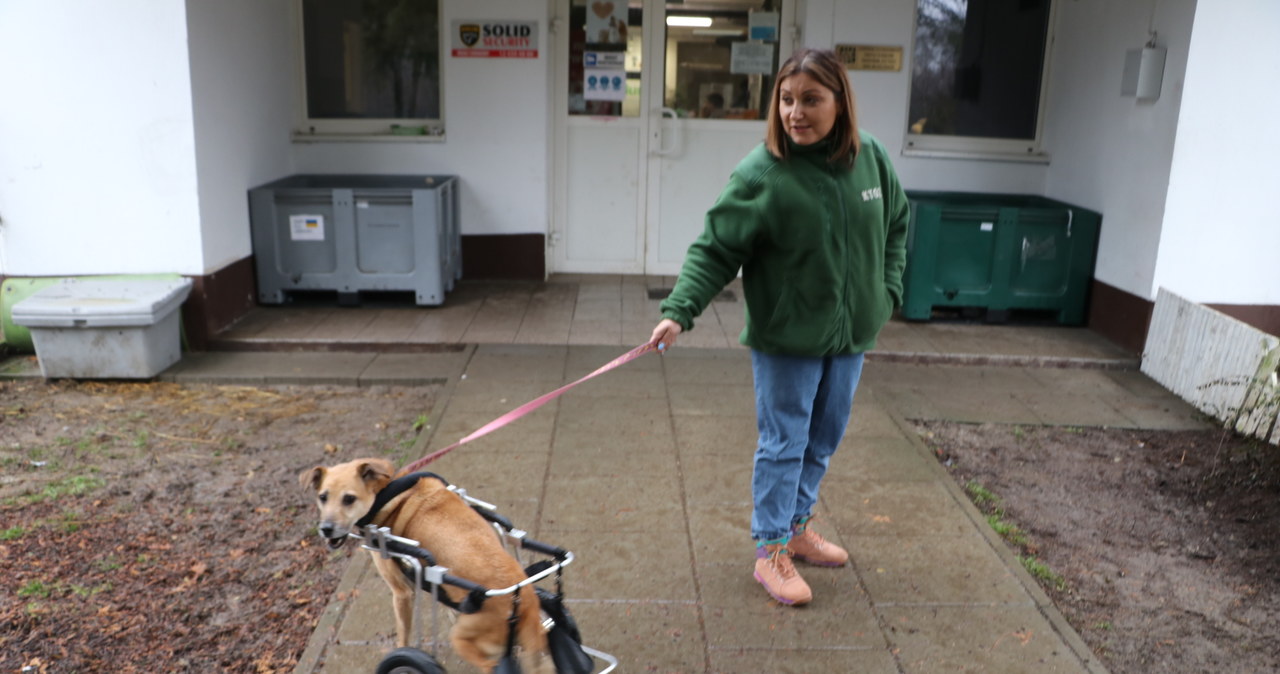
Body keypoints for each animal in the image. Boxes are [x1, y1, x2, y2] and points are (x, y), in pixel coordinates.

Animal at [304, 457, 555, 674]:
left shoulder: (402, 592)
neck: (387, 491)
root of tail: (525, 605)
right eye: (323, 497)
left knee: (488, 665)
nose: (325, 529)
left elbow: (403, 636)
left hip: (465, 639)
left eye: (349, 499)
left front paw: (401, 652)